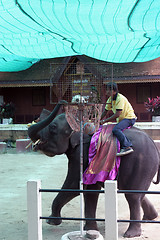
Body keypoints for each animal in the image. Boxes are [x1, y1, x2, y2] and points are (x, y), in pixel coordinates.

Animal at [28, 101, 159, 238]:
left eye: (53, 127)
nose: (62, 102)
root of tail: (155, 146)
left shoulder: (82, 155)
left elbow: (75, 186)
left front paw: (51, 222)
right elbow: (91, 190)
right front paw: (89, 229)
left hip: (141, 164)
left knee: (132, 196)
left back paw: (131, 234)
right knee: (135, 192)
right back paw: (150, 218)